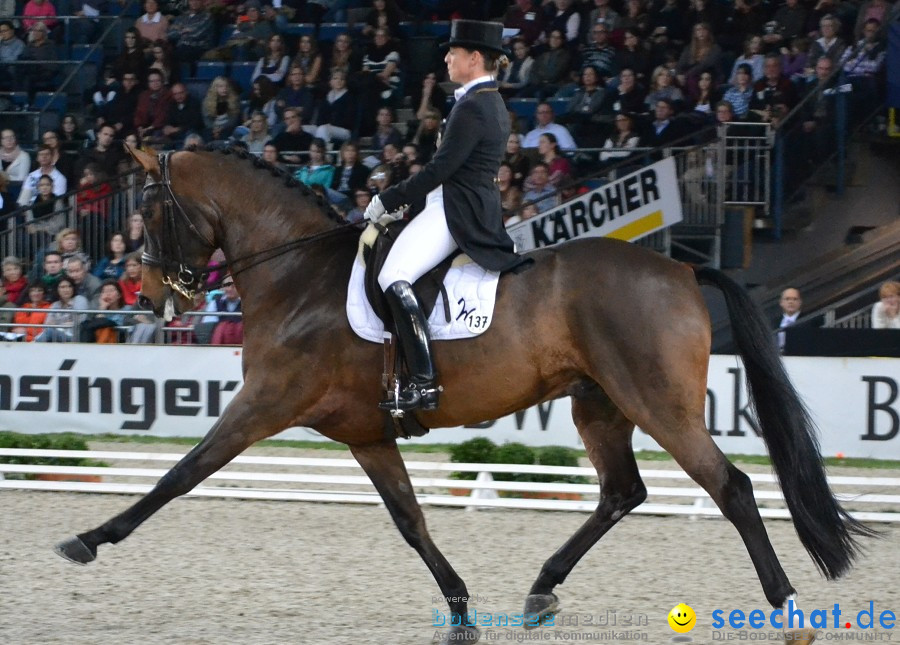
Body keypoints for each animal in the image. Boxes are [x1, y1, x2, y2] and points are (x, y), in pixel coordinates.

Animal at [56, 147, 872, 644]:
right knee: (623, 491)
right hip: (598, 403)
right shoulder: (367, 433)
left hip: (656, 401)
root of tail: (677, 268)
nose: (152, 296)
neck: (296, 276)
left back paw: (788, 611)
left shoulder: (264, 403)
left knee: (730, 487)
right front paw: (459, 610)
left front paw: (89, 538)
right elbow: (411, 521)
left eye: (151, 207)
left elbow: (179, 475)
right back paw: (541, 591)